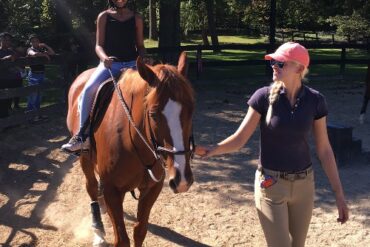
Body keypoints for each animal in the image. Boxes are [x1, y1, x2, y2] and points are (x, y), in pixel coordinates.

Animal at [65, 53, 195, 246]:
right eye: (153, 114)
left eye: (191, 110)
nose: (182, 180)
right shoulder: (112, 190)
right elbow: (122, 239)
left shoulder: (152, 187)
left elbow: (140, 231)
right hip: (84, 158)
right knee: (92, 188)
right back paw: (98, 231)